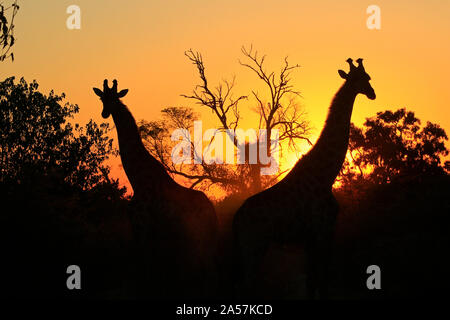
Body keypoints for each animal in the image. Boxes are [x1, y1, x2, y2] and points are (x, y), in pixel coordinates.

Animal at [92, 79, 217, 298]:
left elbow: (145, 263)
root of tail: (212, 210)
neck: (137, 180)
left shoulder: (141, 223)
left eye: (115, 97)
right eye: (102, 98)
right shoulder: (147, 228)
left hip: (198, 235)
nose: (105, 113)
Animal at [232, 58, 376, 298]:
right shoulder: (323, 229)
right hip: (253, 245)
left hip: (249, 247)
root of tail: (236, 218)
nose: (372, 93)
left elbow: (311, 282)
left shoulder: (311, 237)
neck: (326, 177)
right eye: (360, 79)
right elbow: (322, 279)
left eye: (368, 77)